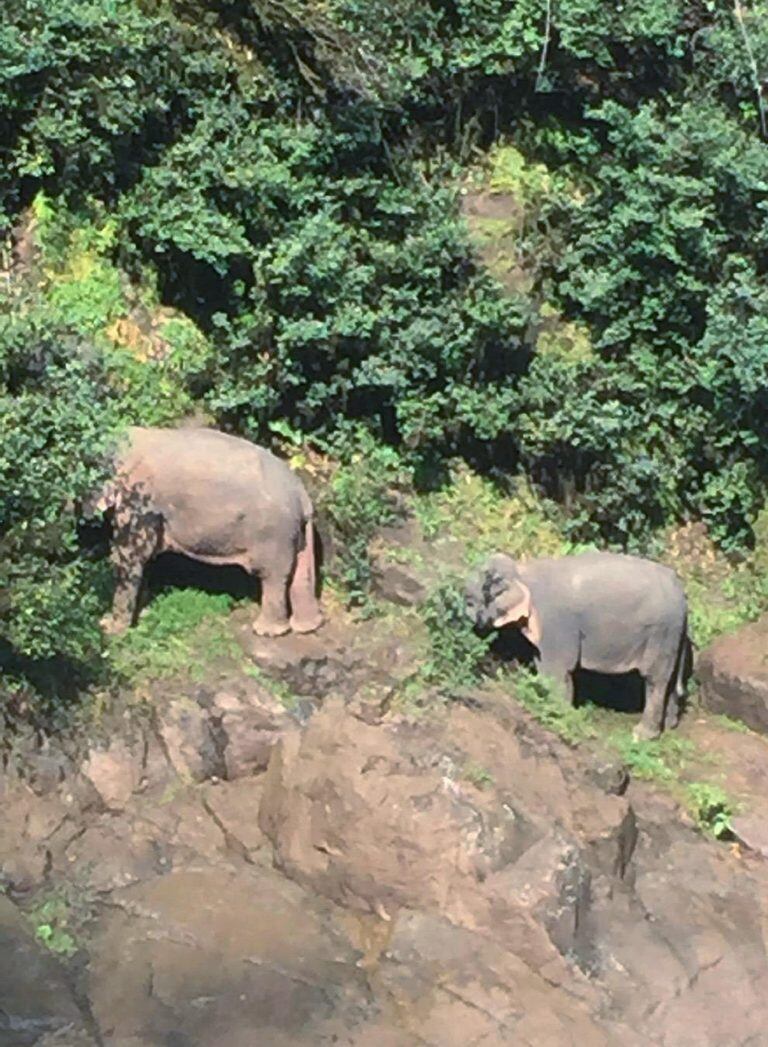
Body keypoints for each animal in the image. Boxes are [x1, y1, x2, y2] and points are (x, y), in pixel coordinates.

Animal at [91, 425, 324, 636]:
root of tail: (301, 494)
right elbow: (145, 555)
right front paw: (143, 613)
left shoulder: (139, 498)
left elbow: (132, 554)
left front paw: (110, 628)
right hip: (299, 531)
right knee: (301, 572)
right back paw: (307, 627)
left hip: (274, 534)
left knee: (273, 576)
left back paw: (267, 631)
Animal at [466, 552, 694, 741]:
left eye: (470, 601)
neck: (523, 570)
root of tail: (683, 595)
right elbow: (544, 667)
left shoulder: (556, 623)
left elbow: (558, 670)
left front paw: (558, 714)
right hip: (672, 636)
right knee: (669, 680)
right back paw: (670, 725)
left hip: (661, 632)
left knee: (655, 679)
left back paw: (643, 735)